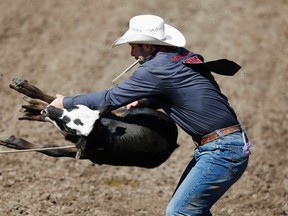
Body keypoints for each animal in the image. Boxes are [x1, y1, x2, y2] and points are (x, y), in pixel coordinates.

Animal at [0, 78, 178, 168]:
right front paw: (33, 104)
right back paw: (29, 96)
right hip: (122, 112)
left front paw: (12, 141)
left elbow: (51, 150)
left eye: (72, 128)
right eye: (76, 109)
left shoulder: (81, 151)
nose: (49, 112)